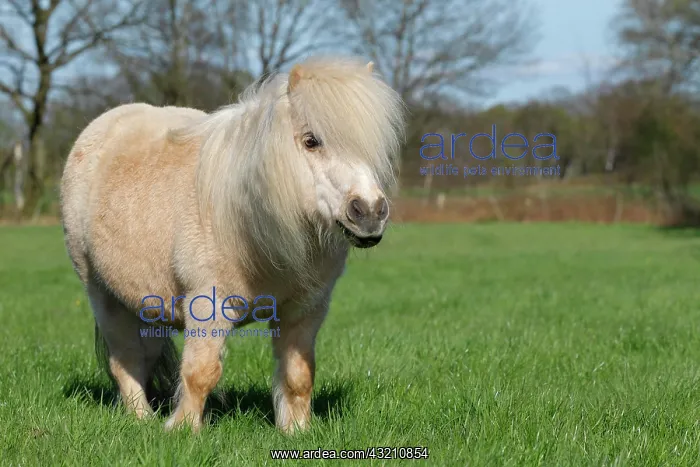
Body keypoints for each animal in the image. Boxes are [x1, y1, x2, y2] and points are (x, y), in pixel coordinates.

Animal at [59, 56, 405, 433]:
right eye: (311, 141)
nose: (369, 212)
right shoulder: (208, 305)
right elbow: (200, 373)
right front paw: (182, 431)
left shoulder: (305, 310)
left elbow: (299, 375)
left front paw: (296, 431)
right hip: (103, 296)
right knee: (126, 359)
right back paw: (142, 419)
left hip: (146, 303)